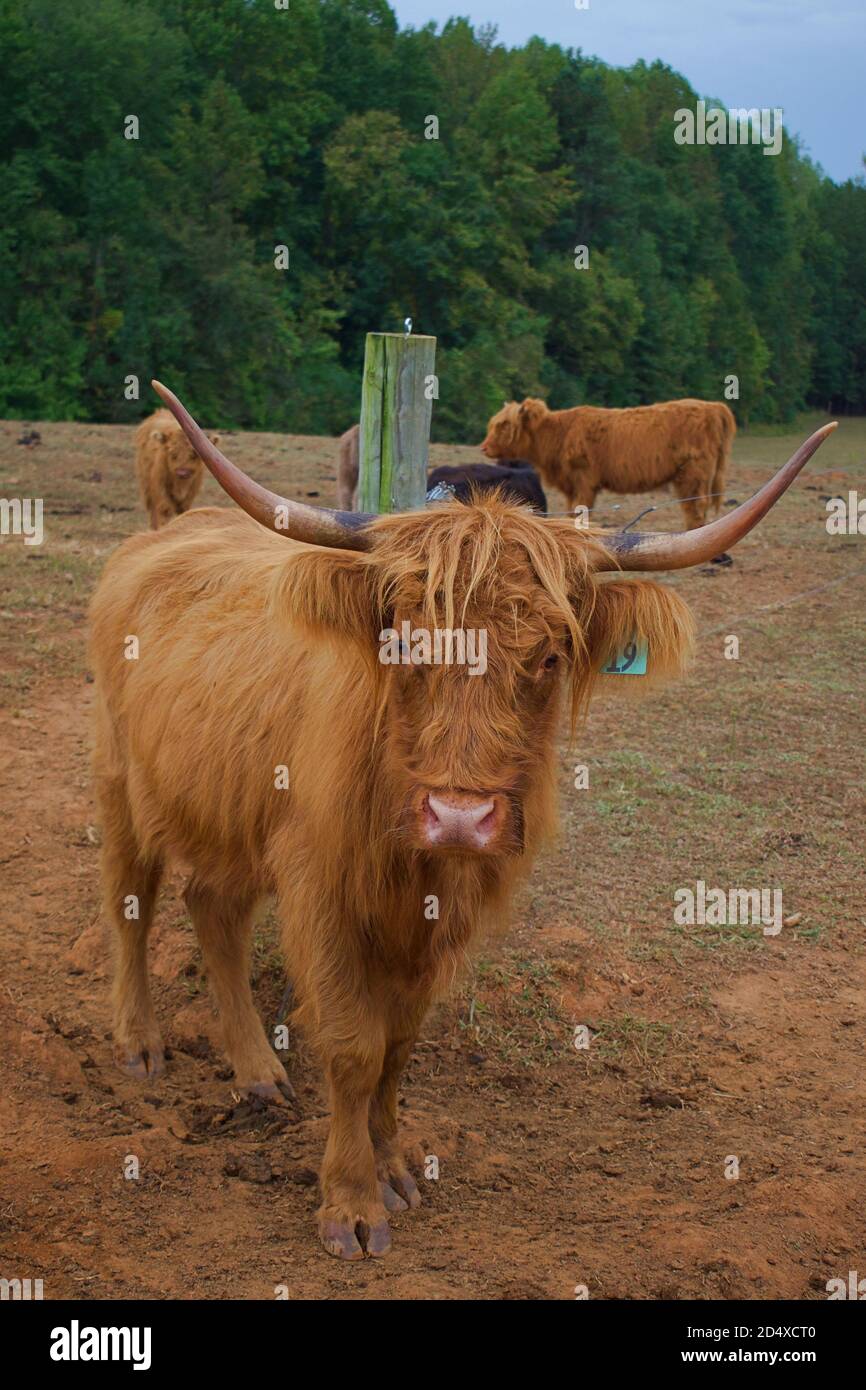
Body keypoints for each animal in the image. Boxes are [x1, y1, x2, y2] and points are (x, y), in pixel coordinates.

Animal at [481, 398, 736, 529]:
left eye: (504, 425)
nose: (484, 447)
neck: (558, 434)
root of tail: (713, 406)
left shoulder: (583, 480)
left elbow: (580, 508)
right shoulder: (572, 484)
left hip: (695, 473)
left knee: (696, 504)